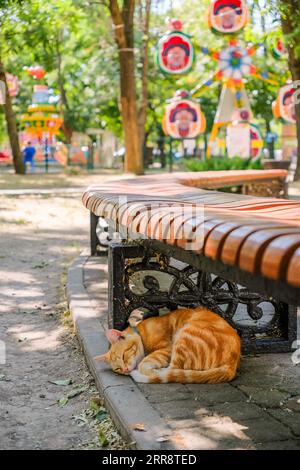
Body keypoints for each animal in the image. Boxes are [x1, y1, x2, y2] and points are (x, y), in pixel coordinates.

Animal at [96, 306, 241, 384]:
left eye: (124, 356)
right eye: (117, 369)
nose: (125, 370)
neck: (141, 332)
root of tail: (232, 364)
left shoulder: (166, 349)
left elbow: (144, 363)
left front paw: (146, 369)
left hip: (184, 337)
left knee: (172, 371)